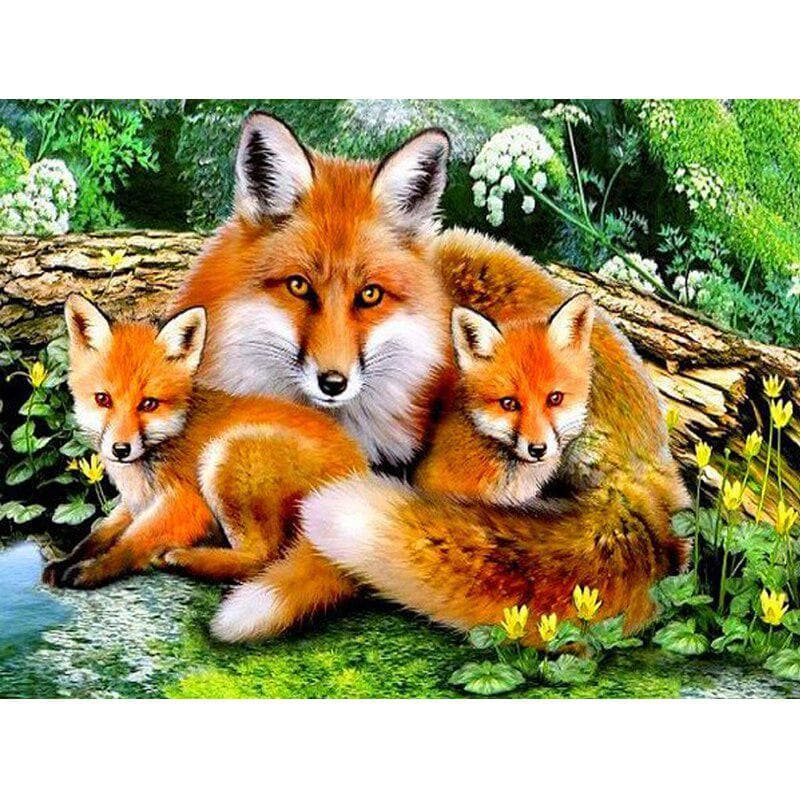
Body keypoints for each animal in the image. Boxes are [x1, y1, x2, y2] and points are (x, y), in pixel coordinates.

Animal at [42, 294, 367, 607]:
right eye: (103, 399)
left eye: (148, 404)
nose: (120, 449)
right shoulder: (134, 504)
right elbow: (97, 535)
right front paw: (66, 561)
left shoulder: (187, 505)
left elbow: (130, 543)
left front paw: (94, 569)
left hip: (225, 456)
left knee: (262, 558)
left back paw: (182, 559)